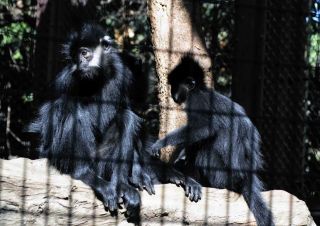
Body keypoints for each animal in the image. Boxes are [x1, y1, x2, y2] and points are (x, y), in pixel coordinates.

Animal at [28, 23, 201, 221]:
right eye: (75, 57)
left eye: (84, 53)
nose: (80, 63)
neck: (98, 78)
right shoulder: (66, 78)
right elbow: (46, 118)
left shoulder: (122, 74)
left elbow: (129, 115)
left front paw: (140, 174)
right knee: (70, 110)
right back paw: (85, 173)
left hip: (103, 160)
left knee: (126, 118)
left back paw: (123, 185)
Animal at [150, 56, 276, 226]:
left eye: (176, 86)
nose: (172, 93)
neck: (200, 90)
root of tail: (246, 178)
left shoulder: (197, 101)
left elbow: (204, 129)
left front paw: (160, 144)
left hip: (221, 176)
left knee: (202, 149)